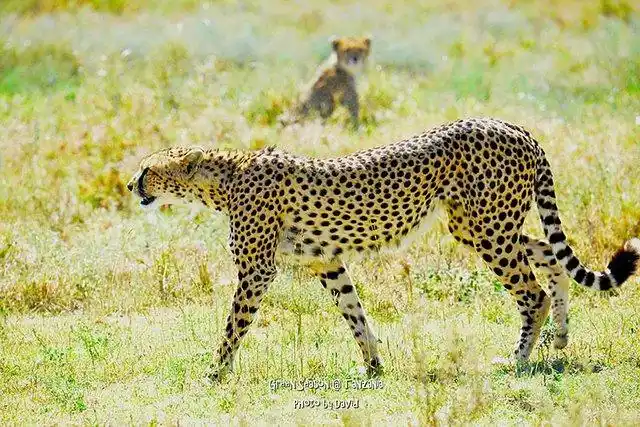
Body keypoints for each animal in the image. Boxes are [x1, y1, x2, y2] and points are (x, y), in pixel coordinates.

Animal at [127, 117, 640, 381]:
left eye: (148, 169)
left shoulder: (258, 271)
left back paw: (517, 360)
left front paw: (215, 374)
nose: (131, 184)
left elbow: (235, 324)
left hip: (489, 229)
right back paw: (559, 342)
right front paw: (373, 365)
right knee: (550, 258)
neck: (225, 179)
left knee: (531, 292)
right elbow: (354, 313)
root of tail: (512, 125)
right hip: (479, 226)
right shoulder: (328, 262)